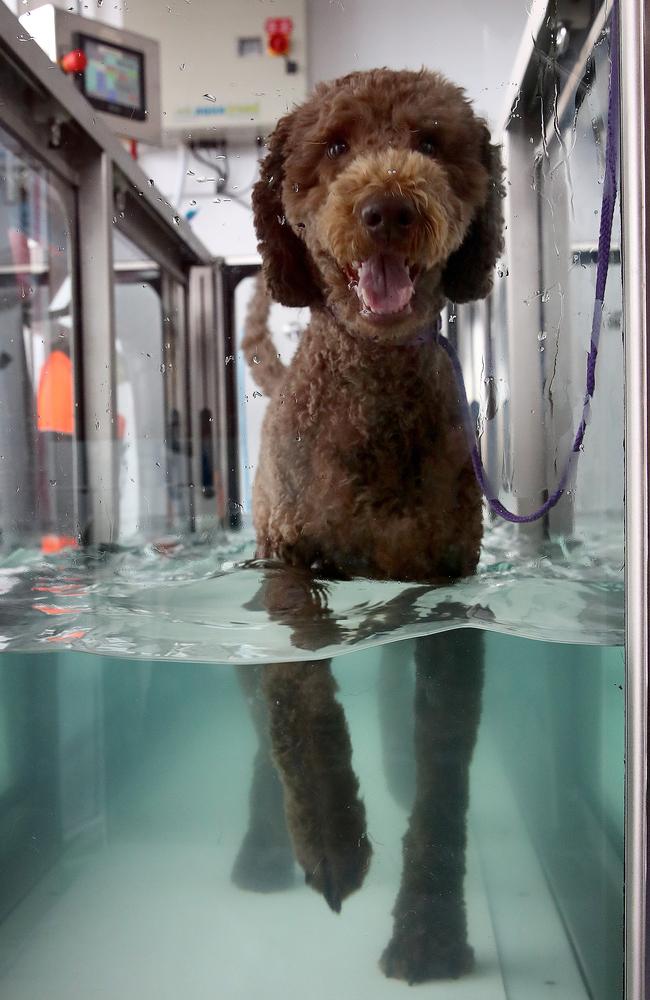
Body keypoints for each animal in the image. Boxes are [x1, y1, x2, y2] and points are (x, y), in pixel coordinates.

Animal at [237, 66, 502, 980]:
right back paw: (263, 852)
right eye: (336, 146)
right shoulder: (287, 569)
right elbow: (299, 700)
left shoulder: (448, 596)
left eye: (429, 141)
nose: (388, 208)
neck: (373, 393)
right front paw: (330, 838)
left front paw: (430, 932)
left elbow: (445, 768)